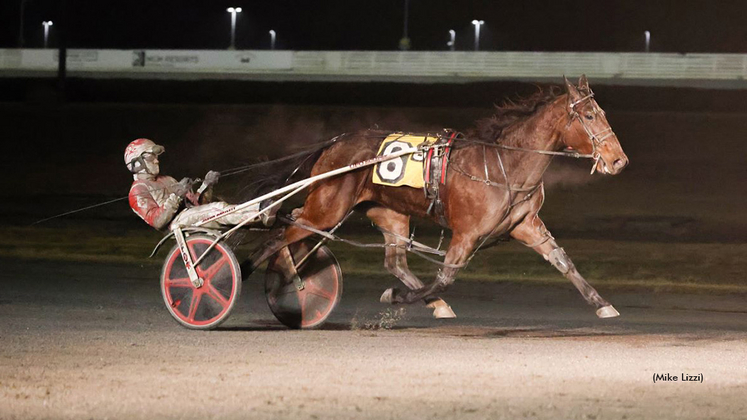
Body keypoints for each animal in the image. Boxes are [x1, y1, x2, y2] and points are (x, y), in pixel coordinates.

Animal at [248, 74, 628, 318]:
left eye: (603, 113)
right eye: (590, 115)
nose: (618, 160)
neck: (505, 164)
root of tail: (333, 144)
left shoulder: (525, 224)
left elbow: (562, 261)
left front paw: (603, 304)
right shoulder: (467, 233)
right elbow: (445, 279)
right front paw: (396, 296)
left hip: (388, 212)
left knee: (392, 261)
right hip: (327, 208)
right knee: (282, 234)